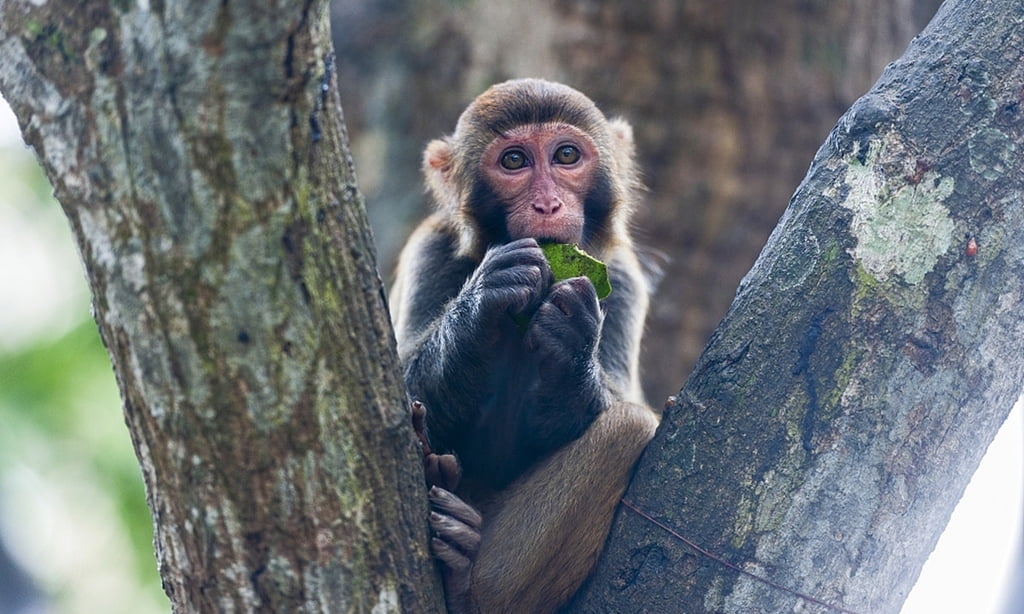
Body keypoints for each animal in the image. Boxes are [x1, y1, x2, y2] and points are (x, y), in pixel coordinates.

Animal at [387, 79, 659, 609]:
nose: (548, 206)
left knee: (630, 427)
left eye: (566, 155)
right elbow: (401, 391)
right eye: (514, 161)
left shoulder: (621, 277)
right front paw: (482, 300)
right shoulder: (430, 251)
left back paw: (469, 583)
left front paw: (573, 343)